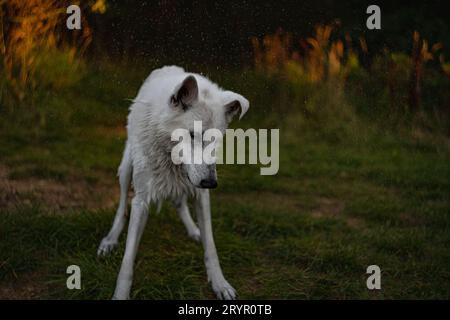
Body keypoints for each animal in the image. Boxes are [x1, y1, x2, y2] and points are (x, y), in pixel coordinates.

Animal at [97, 65, 250, 300]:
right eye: (193, 134)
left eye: (216, 138)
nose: (210, 183)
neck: (169, 155)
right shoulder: (141, 201)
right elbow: (128, 258)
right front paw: (120, 294)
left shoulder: (202, 194)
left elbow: (211, 246)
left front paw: (219, 283)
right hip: (126, 170)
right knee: (122, 206)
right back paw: (110, 240)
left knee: (179, 203)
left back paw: (194, 230)